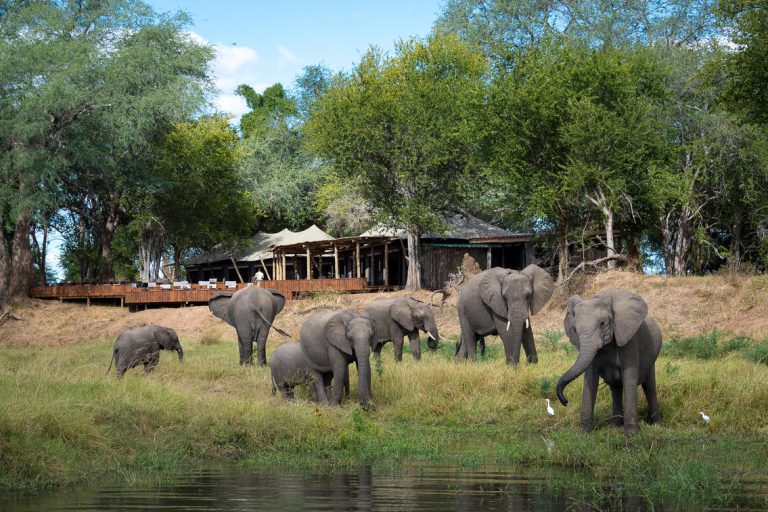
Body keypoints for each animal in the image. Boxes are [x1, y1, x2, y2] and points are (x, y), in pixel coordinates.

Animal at [556, 288, 663, 436]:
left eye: (602, 323)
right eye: (575, 330)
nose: (565, 401)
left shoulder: (629, 338)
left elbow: (629, 378)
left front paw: (631, 435)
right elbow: (590, 380)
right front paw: (583, 434)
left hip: (652, 356)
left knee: (649, 387)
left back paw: (657, 425)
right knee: (616, 388)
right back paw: (615, 426)